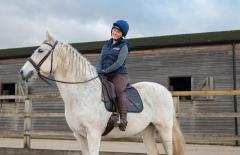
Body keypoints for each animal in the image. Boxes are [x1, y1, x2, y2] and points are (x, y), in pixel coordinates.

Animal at [19, 32, 185, 154]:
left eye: (40, 50)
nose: (22, 72)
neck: (82, 93)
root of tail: (165, 91)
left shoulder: (93, 134)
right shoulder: (79, 135)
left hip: (164, 129)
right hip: (147, 130)